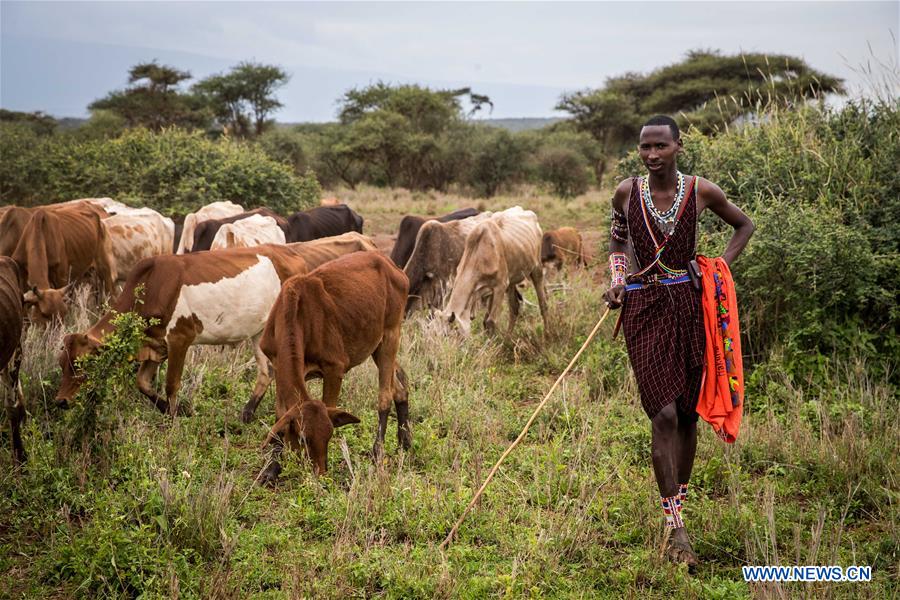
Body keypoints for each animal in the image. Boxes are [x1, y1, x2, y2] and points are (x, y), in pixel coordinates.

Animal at [57, 244, 310, 418]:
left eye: (82, 364)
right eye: (61, 364)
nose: (60, 401)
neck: (151, 285)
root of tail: (293, 255)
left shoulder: (180, 338)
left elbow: (171, 385)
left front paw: (174, 418)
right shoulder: (157, 345)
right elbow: (142, 383)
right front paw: (175, 410)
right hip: (259, 332)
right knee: (266, 372)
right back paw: (247, 413)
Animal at [256, 250, 412, 482]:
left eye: (329, 434)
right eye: (302, 438)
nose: (320, 472)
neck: (297, 313)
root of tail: (392, 266)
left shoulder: (334, 369)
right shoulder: (277, 367)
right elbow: (280, 415)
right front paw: (271, 469)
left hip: (391, 335)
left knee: (385, 395)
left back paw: (378, 452)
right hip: (377, 345)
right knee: (400, 387)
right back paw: (405, 443)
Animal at [438, 206, 548, 338]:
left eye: (450, 334)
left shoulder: (500, 286)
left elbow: (490, 321)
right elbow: (485, 321)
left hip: (536, 268)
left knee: (543, 304)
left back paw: (548, 334)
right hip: (511, 281)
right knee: (514, 307)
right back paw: (508, 338)